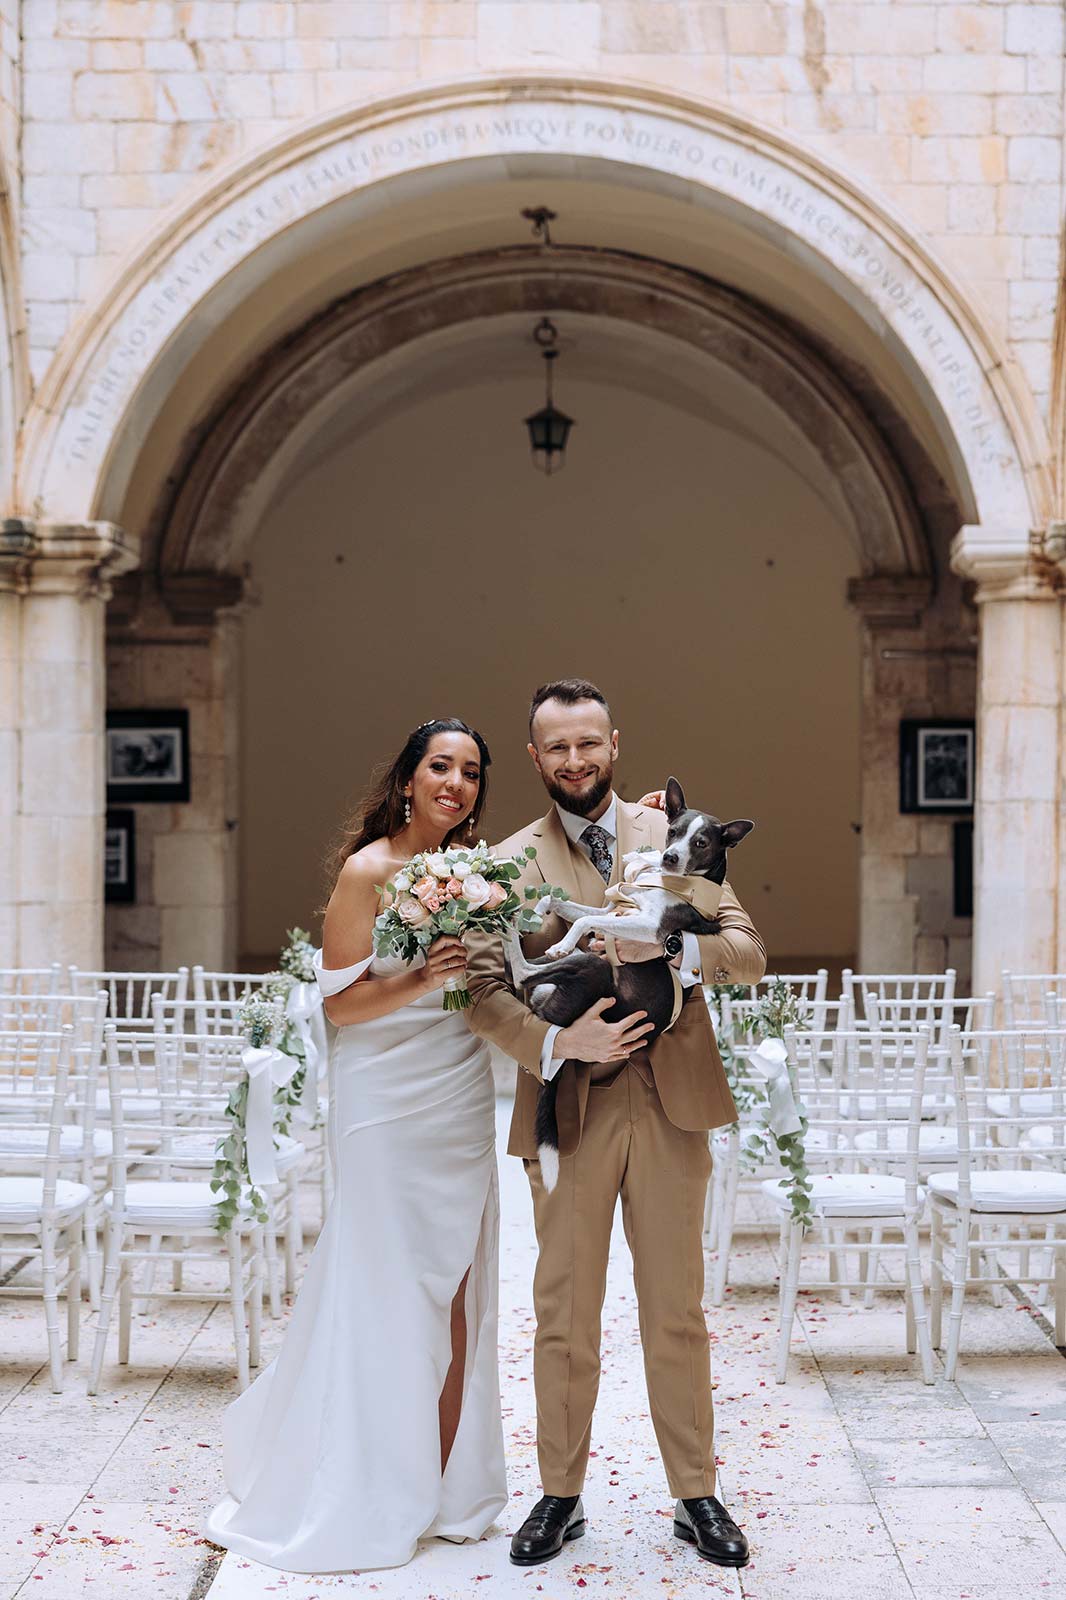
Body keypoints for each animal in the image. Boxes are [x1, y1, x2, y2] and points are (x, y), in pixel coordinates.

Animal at [508, 780, 752, 1184]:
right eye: (673, 831)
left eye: (701, 842)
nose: (669, 857)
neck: (672, 881)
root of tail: (559, 1032)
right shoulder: (613, 908)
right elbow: (564, 904)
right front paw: (541, 910)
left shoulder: (648, 928)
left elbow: (583, 923)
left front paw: (562, 939)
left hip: (591, 968)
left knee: (522, 972)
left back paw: (509, 930)